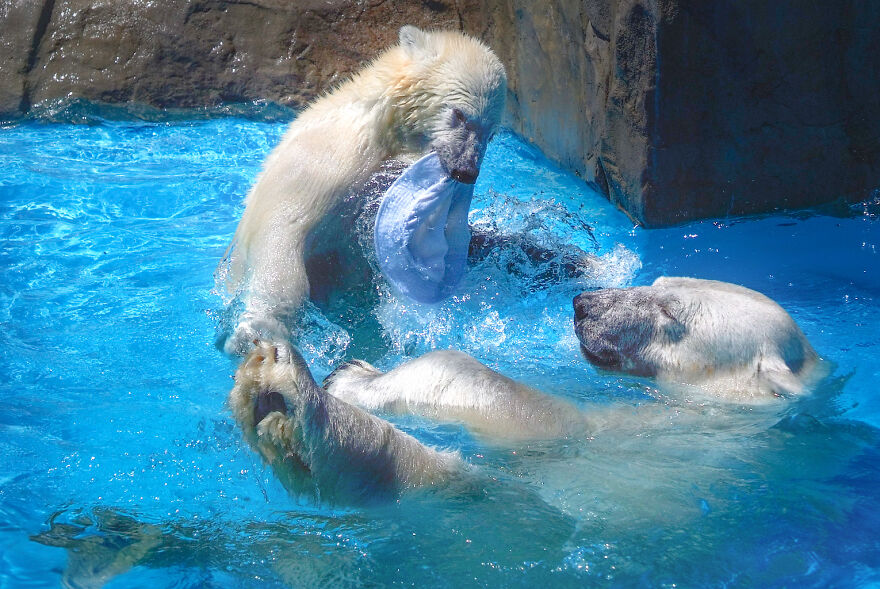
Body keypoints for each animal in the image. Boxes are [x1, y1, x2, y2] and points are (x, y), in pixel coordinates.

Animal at [217, 26, 508, 354]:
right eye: (459, 115)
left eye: (491, 133)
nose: (466, 171)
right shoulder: (327, 162)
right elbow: (282, 237)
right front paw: (258, 333)